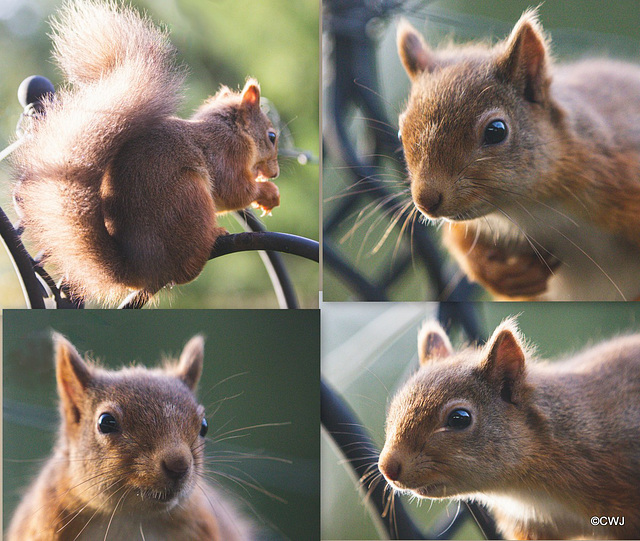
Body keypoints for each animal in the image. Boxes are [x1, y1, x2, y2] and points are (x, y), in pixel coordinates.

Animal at [10, 0, 280, 304]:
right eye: (271, 137)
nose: (275, 173)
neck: (232, 129)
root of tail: (140, 271)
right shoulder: (227, 153)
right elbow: (233, 191)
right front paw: (267, 192)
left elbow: (226, 199)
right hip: (187, 198)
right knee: (186, 269)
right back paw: (212, 238)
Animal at [396, 10, 640, 300]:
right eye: (400, 132)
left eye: (496, 131)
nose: (425, 201)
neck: (527, 208)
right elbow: (462, 241)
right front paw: (501, 275)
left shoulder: (617, 171)